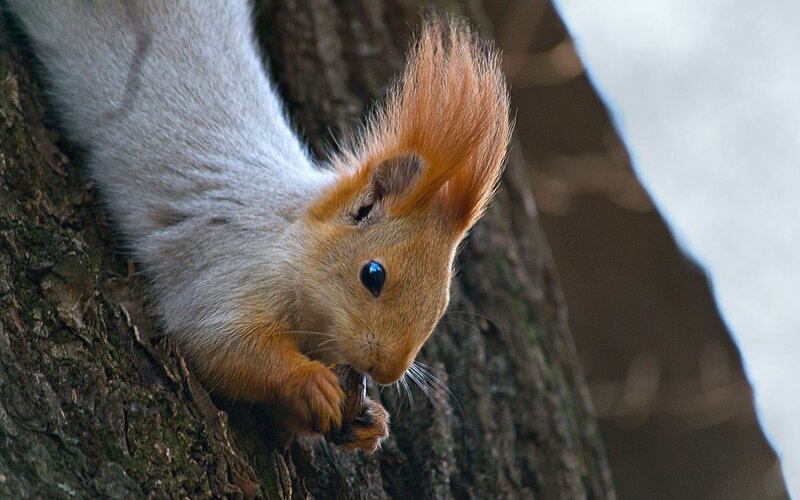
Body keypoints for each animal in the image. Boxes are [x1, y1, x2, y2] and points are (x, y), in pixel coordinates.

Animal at [7, 0, 511, 452]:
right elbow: (218, 345)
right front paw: (308, 381)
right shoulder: (228, 263)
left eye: (442, 305)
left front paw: (369, 422)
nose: (388, 371)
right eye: (373, 274)